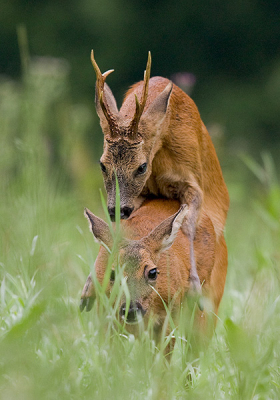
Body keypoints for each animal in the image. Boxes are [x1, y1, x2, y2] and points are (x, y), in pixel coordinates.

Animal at [91, 50, 229, 296]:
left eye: (142, 166)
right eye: (102, 164)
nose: (117, 209)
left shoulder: (191, 179)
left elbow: (188, 225)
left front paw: (194, 282)